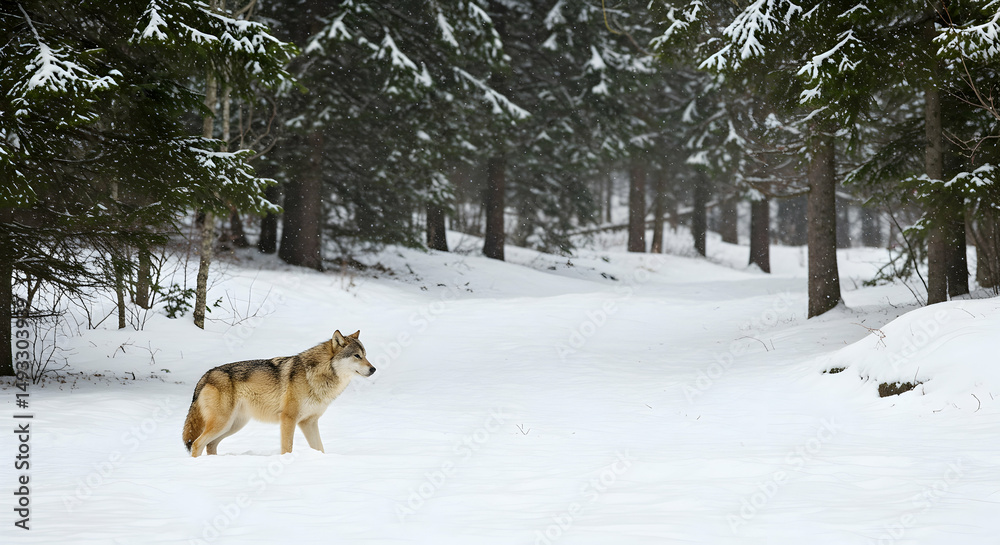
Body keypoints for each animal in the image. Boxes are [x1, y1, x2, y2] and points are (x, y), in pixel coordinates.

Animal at [182, 330, 375, 457]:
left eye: (365, 355)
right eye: (357, 356)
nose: (373, 369)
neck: (317, 375)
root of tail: (206, 375)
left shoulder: (309, 422)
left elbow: (320, 448)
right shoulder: (289, 419)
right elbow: (287, 448)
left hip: (233, 425)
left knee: (210, 445)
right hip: (223, 423)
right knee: (197, 444)